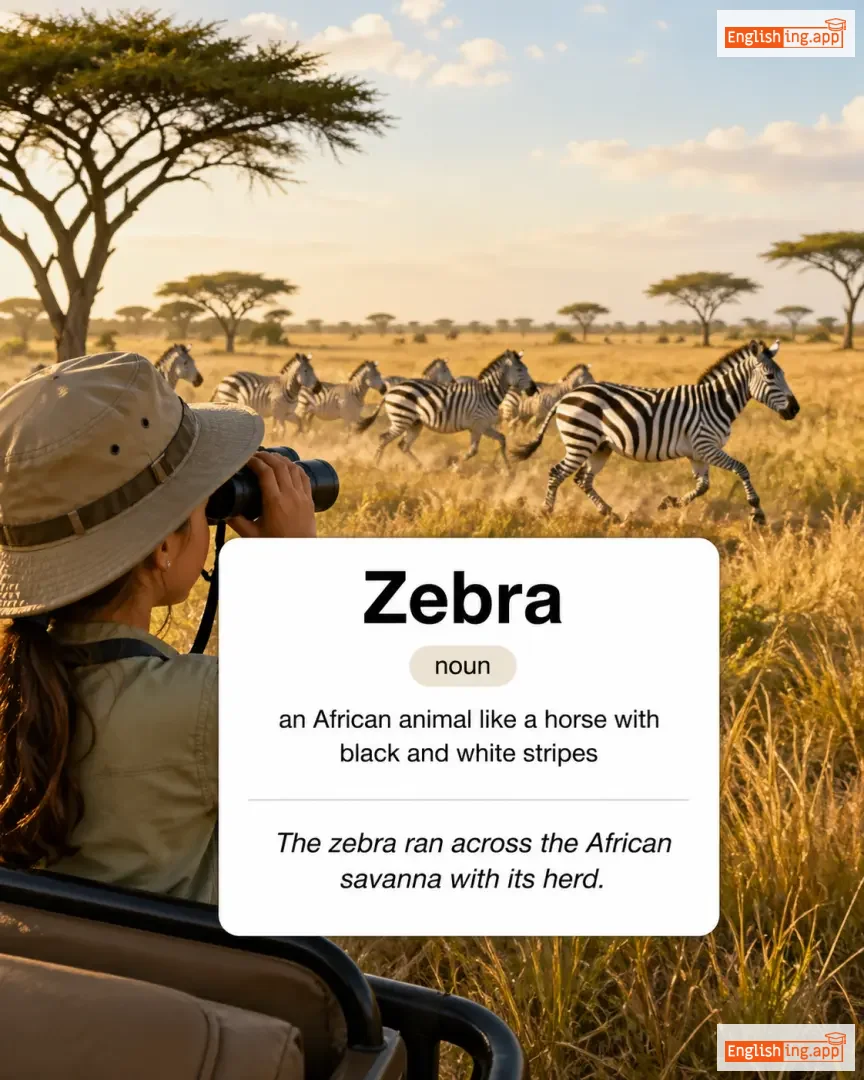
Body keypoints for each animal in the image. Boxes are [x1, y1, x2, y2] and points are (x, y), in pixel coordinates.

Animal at [359, 349, 537, 469]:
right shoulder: (477, 425)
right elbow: (472, 451)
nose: (534, 389)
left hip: (414, 423)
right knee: (384, 438)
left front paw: (509, 470)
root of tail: (390, 391)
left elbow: (502, 439)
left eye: (526, 369)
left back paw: (421, 467)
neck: (488, 393)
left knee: (403, 445)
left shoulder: (483, 426)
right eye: (520, 370)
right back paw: (376, 465)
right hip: (401, 419)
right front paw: (455, 468)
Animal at [512, 340, 799, 523]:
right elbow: (742, 468)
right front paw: (757, 511)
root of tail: (567, 395)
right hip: (580, 441)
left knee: (583, 480)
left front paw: (668, 503)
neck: (715, 402)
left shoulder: (698, 453)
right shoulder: (706, 446)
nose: (795, 409)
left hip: (600, 447)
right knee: (557, 473)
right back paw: (546, 513)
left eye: (784, 374)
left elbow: (703, 486)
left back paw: (610, 514)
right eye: (770, 377)